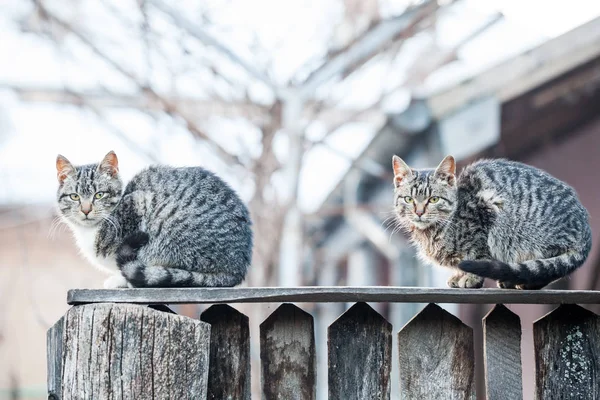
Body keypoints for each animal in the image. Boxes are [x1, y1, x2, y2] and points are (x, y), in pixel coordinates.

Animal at [55, 151, 252, 288]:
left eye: (99, 195)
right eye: (74, 197)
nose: (86, 210)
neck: (90, 231)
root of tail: (238, 267)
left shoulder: (138, 201)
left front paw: (120, 280)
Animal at [392, 155, 592, 290]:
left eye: (433, 199)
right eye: (409, 199)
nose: (419, 212)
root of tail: (586, 229)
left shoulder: (485, 215)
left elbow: (478, 253)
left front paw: (471, 278)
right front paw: (458, 276)